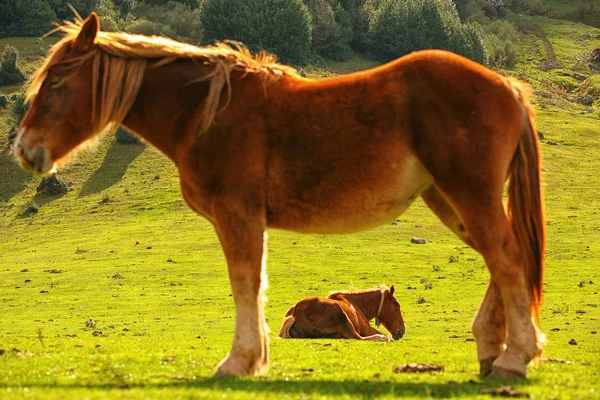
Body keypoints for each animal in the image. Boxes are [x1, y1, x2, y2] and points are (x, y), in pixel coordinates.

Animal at [278, 284, 406, 340]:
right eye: (396, 306)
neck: (355, 304)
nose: (403, 331)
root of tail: (296, 313)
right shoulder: (367, 329)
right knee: (359, 338)